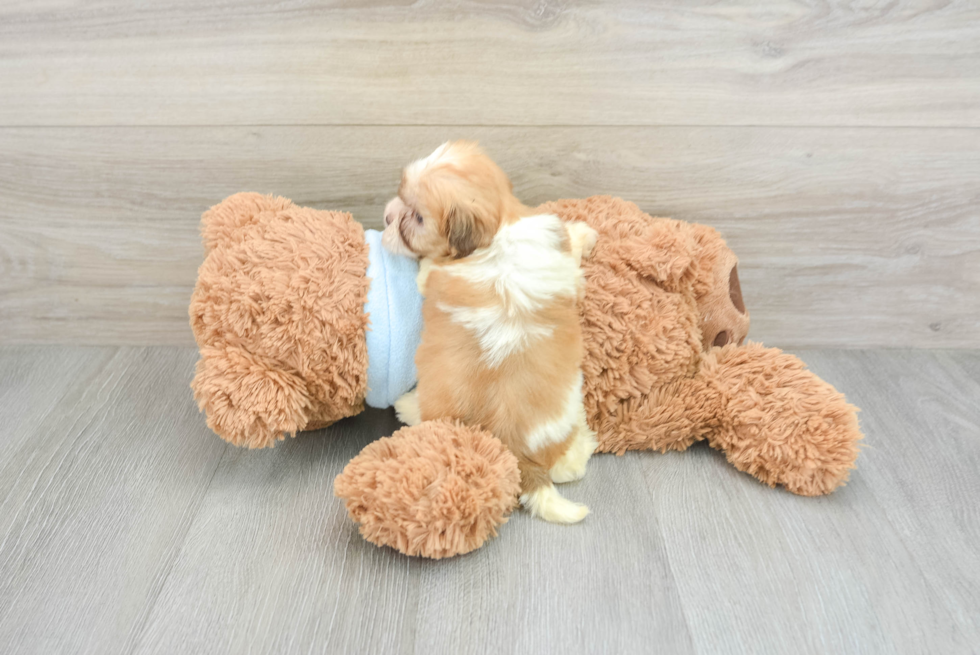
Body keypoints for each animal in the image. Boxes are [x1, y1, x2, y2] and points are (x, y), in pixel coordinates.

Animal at [380, 141, 596, 524]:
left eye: (417, 218)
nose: (389, 216)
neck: (498, 229)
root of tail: (511, 443)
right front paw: (584, 233)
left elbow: (426, 272)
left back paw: (405, 407)